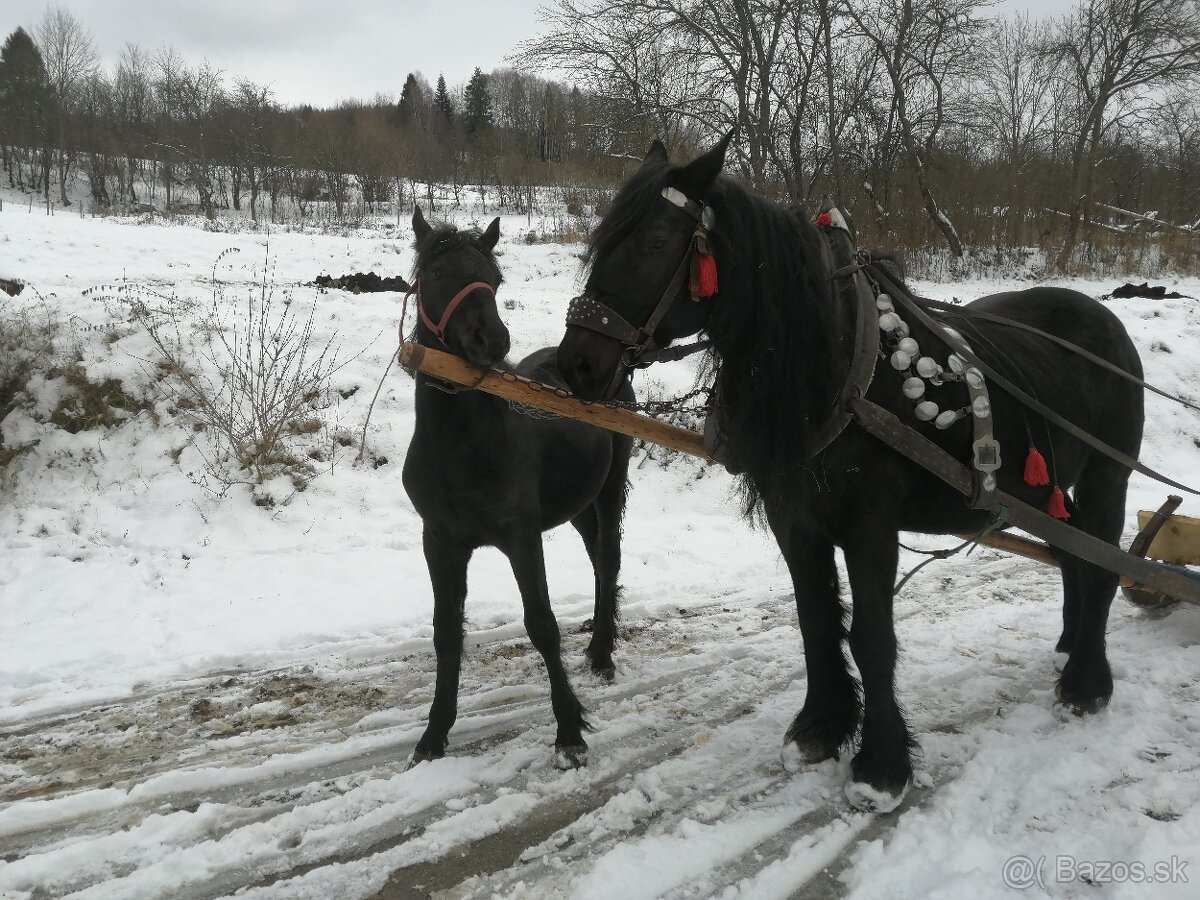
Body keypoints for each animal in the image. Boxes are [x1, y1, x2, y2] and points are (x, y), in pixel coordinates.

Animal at [398, 207, 633, 772]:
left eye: (495, 278)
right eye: (435, 274)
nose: (491, 339)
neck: (462, 445)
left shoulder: (520, 537)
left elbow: (541, 624)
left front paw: (569, 730)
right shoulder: (440, 541)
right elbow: (446, 632)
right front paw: (433, 736)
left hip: (609, 489)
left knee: (609, 558)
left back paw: (603, 654)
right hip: (577, 506)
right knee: (597, 561)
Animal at [556, 137, 1147, 816]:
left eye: (655, 240)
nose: (577, 364)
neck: (834, 366)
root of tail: (1103, 319)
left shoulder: (871, 524)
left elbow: (871, 636)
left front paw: (881, 764)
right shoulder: (795, 519)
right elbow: (816, 620)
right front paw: (822, 726)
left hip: (1106, 479)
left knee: (1103, 565)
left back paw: (1086, 681)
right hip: (1050, 493)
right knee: (1075, 556)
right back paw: (1071, 647)